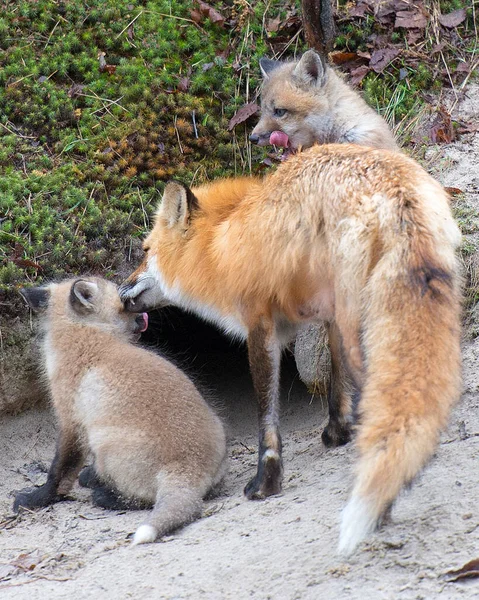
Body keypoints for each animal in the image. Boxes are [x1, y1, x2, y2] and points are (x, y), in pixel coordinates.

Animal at [119, 144, 462, 552]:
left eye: (145, 250)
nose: (120, 291)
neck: (222, 243)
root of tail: (396, 191)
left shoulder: (260, 325)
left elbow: (267, 414)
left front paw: (266, 482)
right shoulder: (328, 315)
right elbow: (336, 387)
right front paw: (338, 433)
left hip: (360, 325)